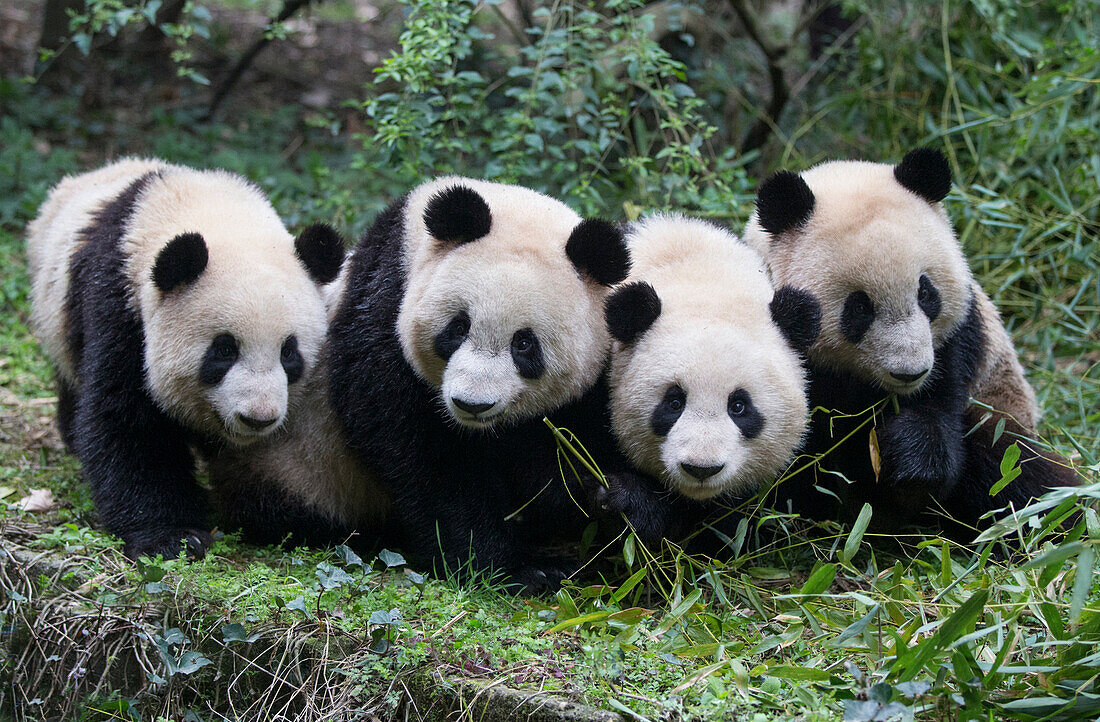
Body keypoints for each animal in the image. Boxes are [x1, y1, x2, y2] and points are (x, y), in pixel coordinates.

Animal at [25, 158, 343, 561]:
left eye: (289, 353)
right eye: (224, 350)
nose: (257, 418)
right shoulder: (119, 306)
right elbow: (127, 422)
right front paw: (172, 536)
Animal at [325, 177, 629, 589]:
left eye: (524, 344)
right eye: (458, 327)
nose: (472, 404)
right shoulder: (382, 312)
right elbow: (424, 456)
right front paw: (514, 567)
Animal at [739, 146, 1073, 532]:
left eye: (925, 293)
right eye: (859, 307)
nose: (910, 372)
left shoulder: (958, 342)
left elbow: (941, 414)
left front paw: (912, 464)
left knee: (1017, 469)